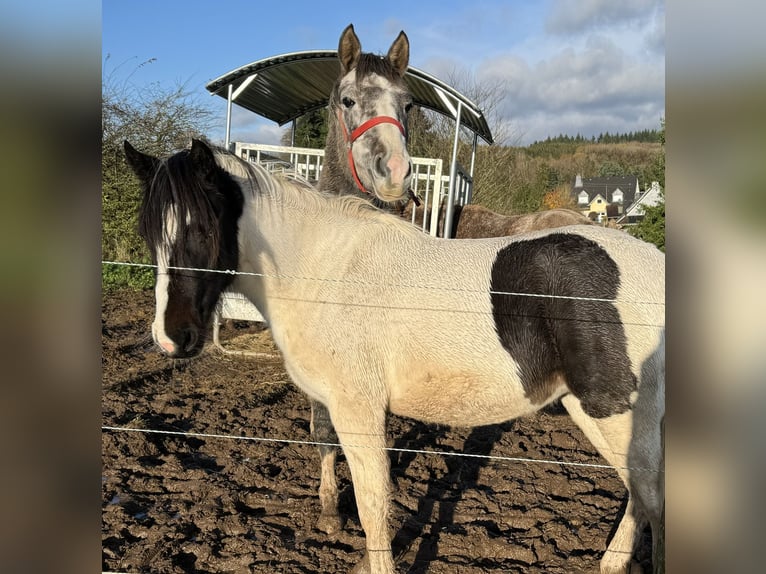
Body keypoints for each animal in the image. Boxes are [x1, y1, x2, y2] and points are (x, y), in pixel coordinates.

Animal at [124, 140, 664, 574]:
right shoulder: (332, 402)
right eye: (151, 232)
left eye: (202, 227)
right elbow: (330, 453)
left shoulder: (359, 410)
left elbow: (373, 504)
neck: (324, 269)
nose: (171, 338)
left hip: (613, 413)